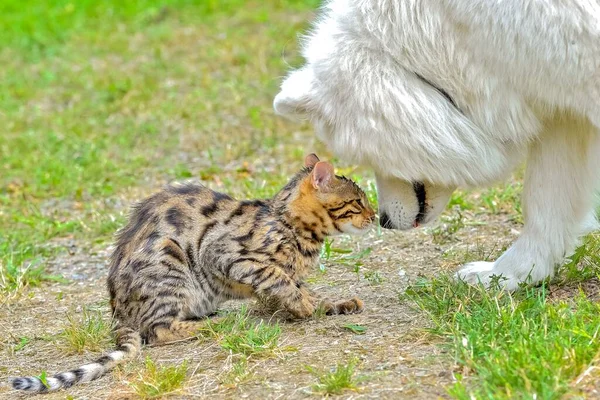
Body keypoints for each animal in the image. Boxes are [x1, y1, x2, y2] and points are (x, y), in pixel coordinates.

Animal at [11, 154, 376, 394]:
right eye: (359, 202)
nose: (376, 216)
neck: (290, 224)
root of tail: (117, 312)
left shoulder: (285, 274)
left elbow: (301, 289)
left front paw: (332, 304)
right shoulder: (224, 254)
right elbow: (278, 278)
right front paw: (301, 306)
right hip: (169, 260)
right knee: (157, 330)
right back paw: (217, 322)